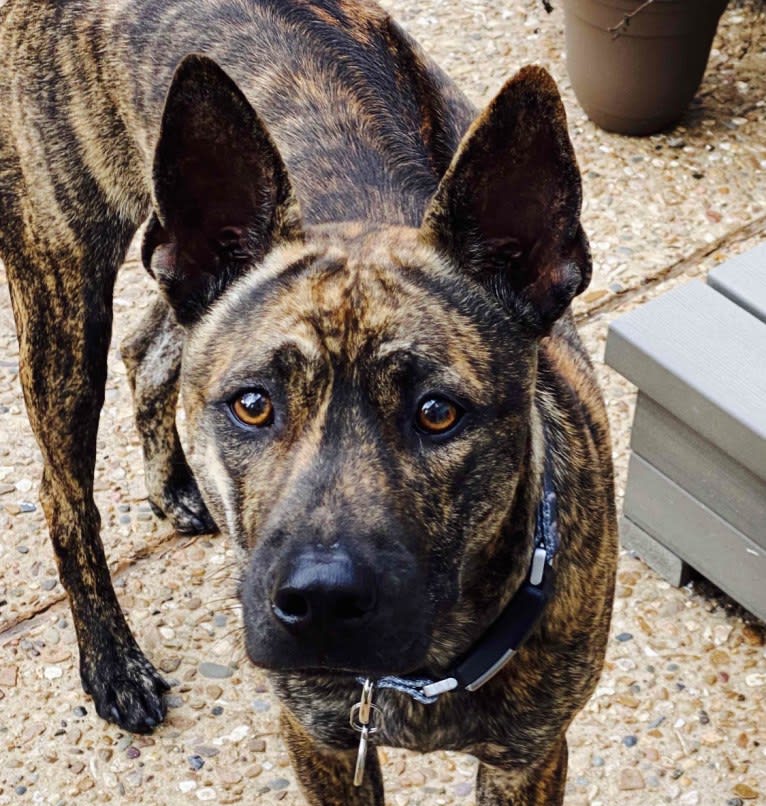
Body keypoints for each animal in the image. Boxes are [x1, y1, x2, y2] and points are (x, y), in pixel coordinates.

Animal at [0, 0, 616, 800]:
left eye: (437, 412)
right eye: (253, 404)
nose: (321, 602)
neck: (415, 677)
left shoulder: (528, 759)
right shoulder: (319, 741)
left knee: (151, 350)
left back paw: (172, 485)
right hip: (63, 291)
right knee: (63, 493)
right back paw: (111, 661)